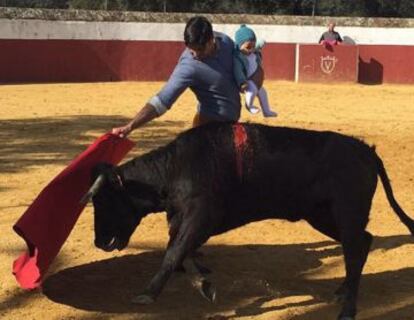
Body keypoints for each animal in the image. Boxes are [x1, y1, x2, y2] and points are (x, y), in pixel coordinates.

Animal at [85, 123, 414, 320]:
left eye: (103, 201)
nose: (99, 242)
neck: (175, 168)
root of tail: (366, 151)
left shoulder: (200, 216)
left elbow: (173, 253)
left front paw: (147, 294)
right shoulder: (185, 219)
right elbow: (180, 251)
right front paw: (204, 285)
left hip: (346, 212)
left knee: (355, 248)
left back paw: (348, 309)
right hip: (321, 215)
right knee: (361, 242)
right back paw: (343, 291)